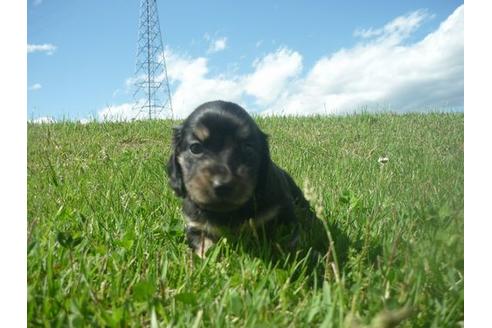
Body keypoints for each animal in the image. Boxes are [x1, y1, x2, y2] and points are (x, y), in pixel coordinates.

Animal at [166, 101, 312, 258]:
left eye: (247, 148)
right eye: (195, 148)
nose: (222, 185)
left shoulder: (284, 212)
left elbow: (288, 240)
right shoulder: (195, 226)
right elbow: (204, 247)